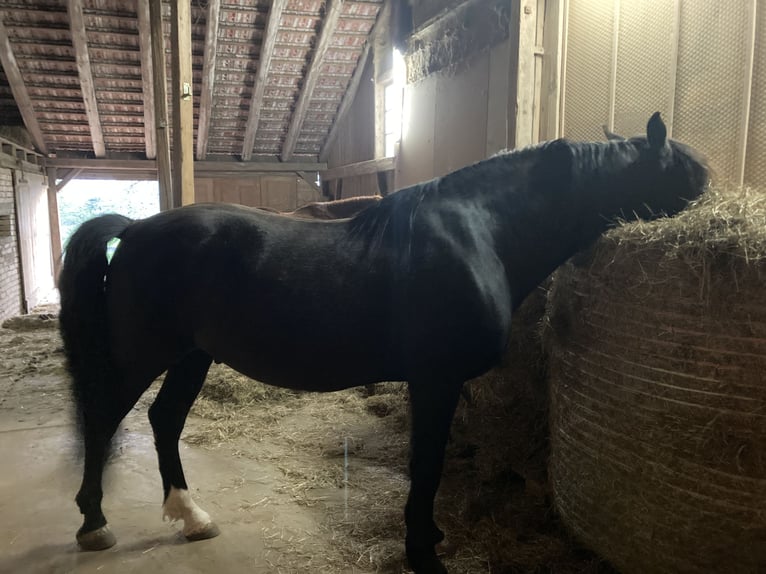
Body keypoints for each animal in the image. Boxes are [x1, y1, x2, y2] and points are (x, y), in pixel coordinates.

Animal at [58, 113, 708, 574]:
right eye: (686, 175)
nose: (711, 203)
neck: (482, 234)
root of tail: (135, 228)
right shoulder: (436, 380)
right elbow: (427, 464)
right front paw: (424, 552)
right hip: (144, 356)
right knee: (105, 418)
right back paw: (93, 523)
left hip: (193, 355)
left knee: (164, 420)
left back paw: (191, 517)